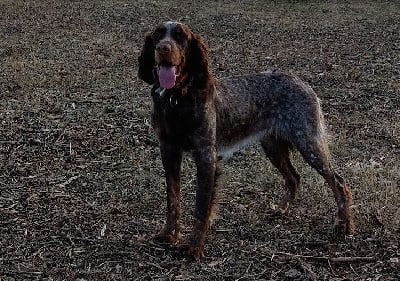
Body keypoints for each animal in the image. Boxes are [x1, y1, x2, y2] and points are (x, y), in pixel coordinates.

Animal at [138, 21, 356, 258]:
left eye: (180, 37)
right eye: (158, 35)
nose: (163, 48)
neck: (177, 99)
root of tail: (303, 82)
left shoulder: (206, 157)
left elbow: (201, 207)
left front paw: (195, 247)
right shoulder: (168, 150)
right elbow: (173, 198)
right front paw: (169, 234)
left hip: (308, 143)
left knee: (339, 182)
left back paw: (345, 224)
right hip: (272, 146)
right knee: (294, 177)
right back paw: (281, 210)